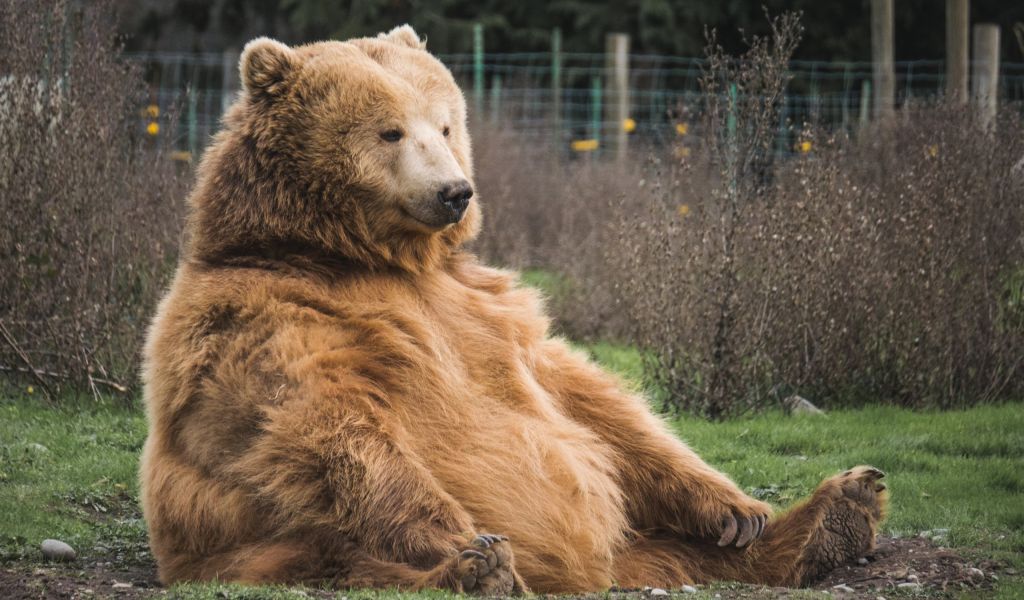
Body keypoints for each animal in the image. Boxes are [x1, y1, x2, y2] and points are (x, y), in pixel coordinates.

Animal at [142, 25, 888, 589]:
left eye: (445, 124)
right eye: (389, 132)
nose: (454, 191)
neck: (367, 257)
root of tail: (594, 572)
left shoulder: (487, 308)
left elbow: (588, 399)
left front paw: (735, 508)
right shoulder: (267, 316)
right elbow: (324, 424)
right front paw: (463, 542)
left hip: (638, 540)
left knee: (681, 546)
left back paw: (833, 514)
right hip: (259, 544)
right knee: (343, 557)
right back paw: (477, 571)